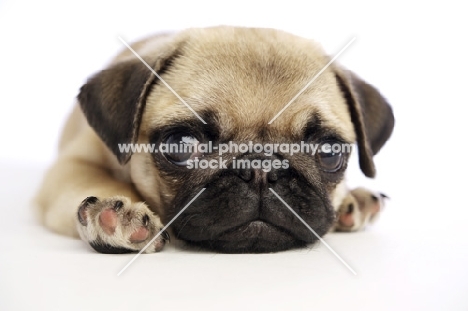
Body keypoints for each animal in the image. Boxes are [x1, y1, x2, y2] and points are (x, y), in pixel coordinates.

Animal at [34, 26, 394, 255]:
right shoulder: (73, 164)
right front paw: (113, 217)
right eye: (181, 144)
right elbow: (92, 181)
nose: (262, 168)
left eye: (329, 153)